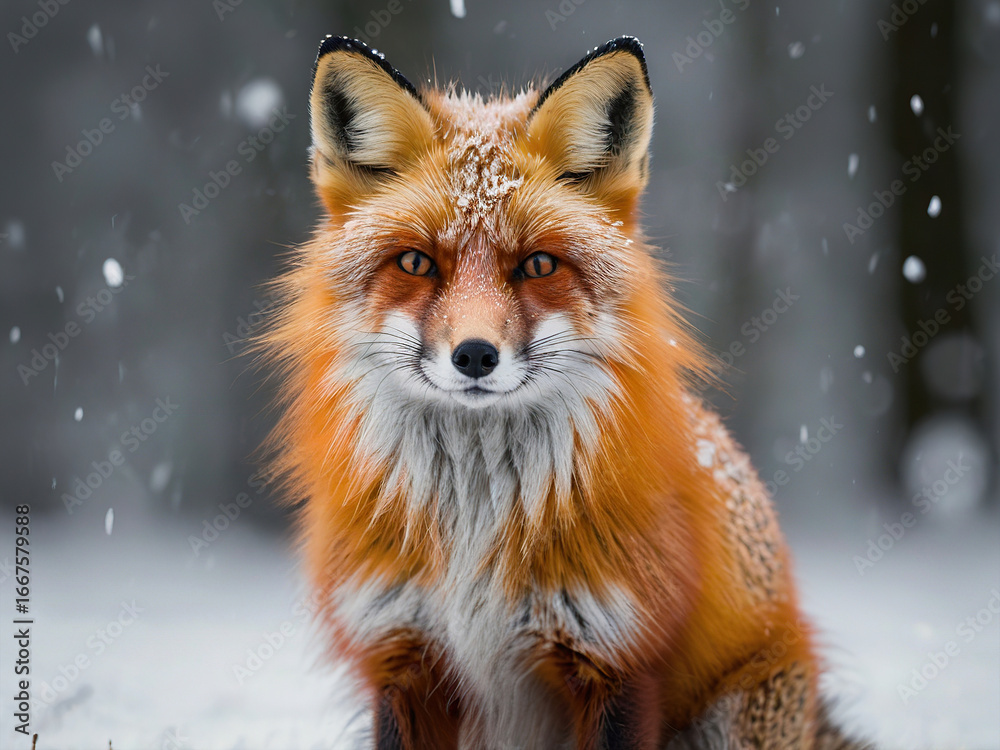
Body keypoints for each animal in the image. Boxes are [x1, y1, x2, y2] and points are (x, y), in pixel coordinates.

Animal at [259, 35, 873, 750]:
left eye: (538, 265)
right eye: (416, 262)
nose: (474, 355)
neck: (474, 523)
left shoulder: (618, 659)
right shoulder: (403, 657)